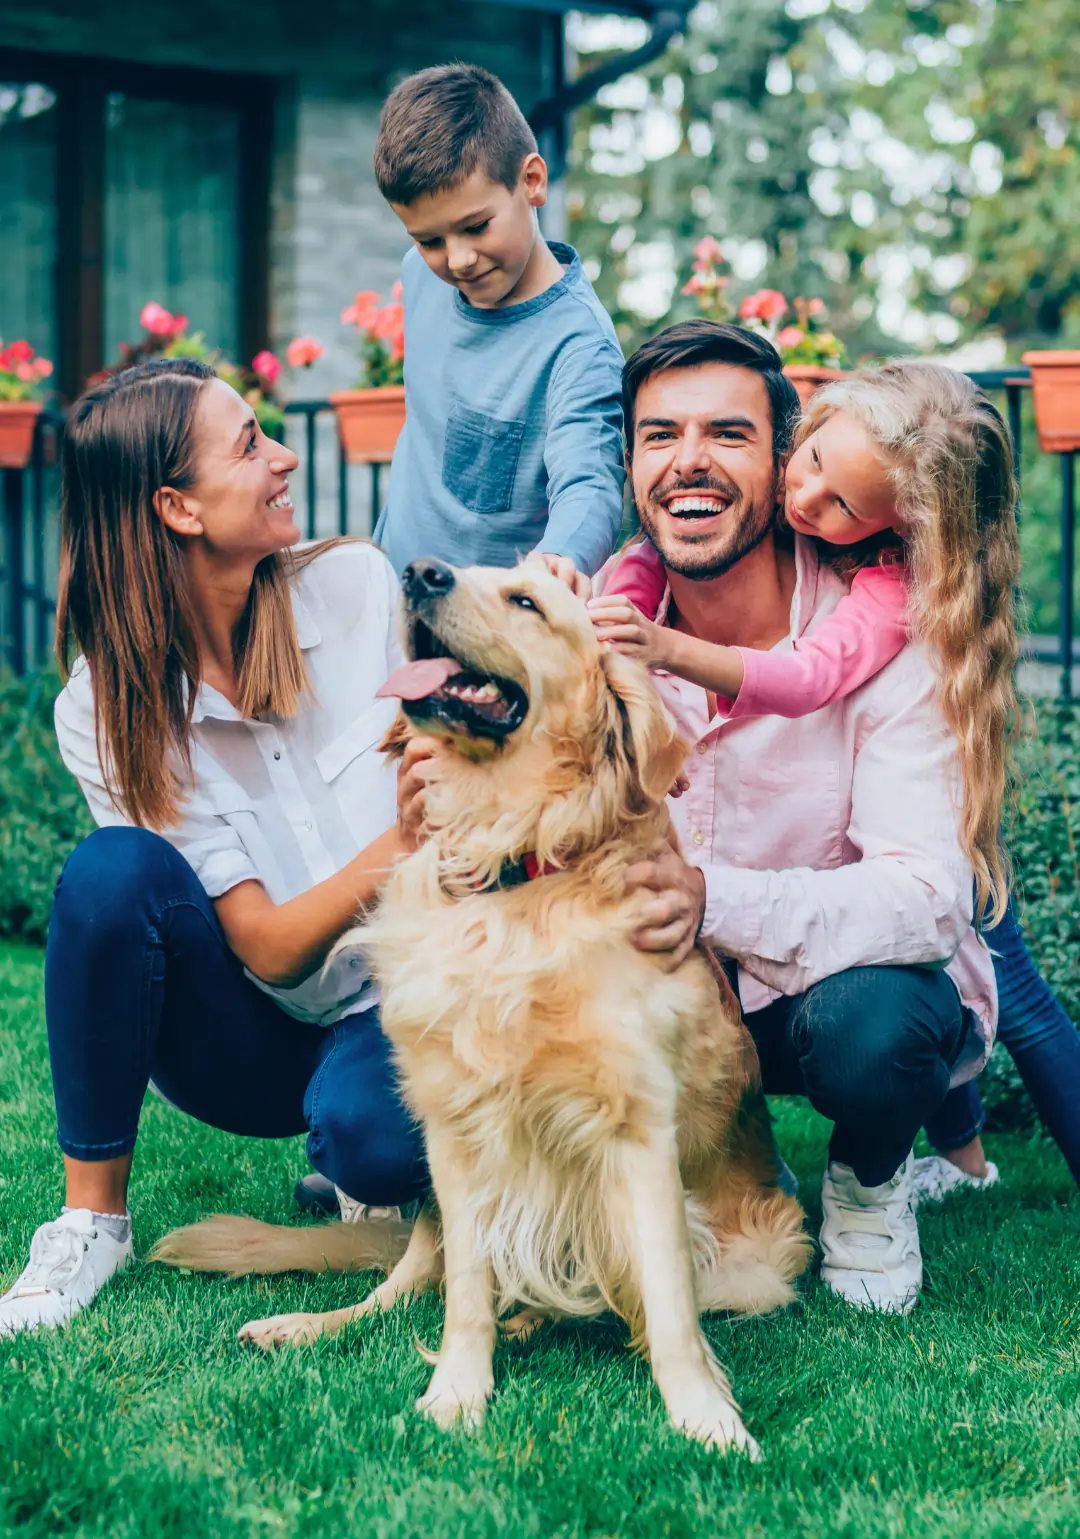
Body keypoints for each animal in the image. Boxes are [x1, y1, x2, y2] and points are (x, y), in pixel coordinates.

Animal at [154, 560, 812, 1458]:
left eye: (527, 601)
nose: (421, 570)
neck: (515, 866)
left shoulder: (639, 1131)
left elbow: (670, 1309)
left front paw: (706, 1419)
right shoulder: (457, 1129)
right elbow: (464, 1290)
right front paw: (456, 1394)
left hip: (760, 1265)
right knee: (403, 1286)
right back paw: (312, 1323)